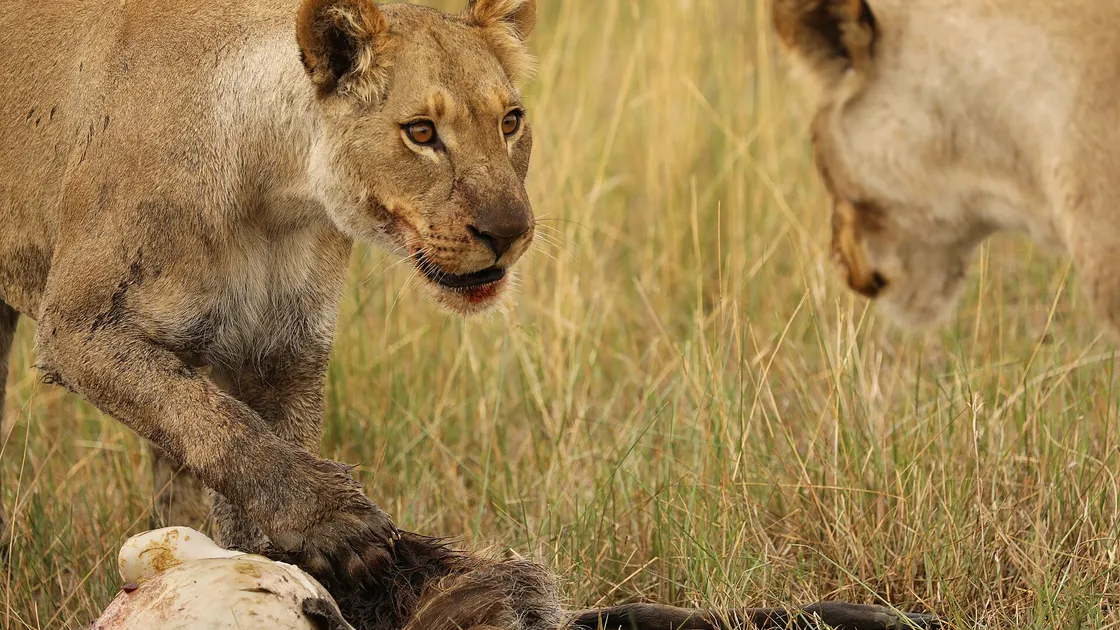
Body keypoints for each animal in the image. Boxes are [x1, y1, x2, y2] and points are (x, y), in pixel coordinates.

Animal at [0, 0, 538, 582]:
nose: (509, 231)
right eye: (421, 132)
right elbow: (218, 424)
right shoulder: (79, 327)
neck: (275, 199)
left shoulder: (284, 352)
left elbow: (251, 464)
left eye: (510, 122)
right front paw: (336, 521)